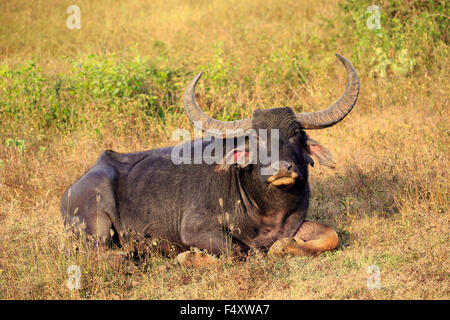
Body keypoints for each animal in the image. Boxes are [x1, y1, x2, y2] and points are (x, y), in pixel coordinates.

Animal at [62, 53, 358, 268]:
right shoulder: (196, 232)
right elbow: (236, 252)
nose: (282, 169)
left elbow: (331, 235)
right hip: (97, 227)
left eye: (296, 133)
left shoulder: (296, 224)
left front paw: (284, 246)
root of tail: (70, 191)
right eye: (256, 138)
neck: (266, 210)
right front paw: (188, 256)